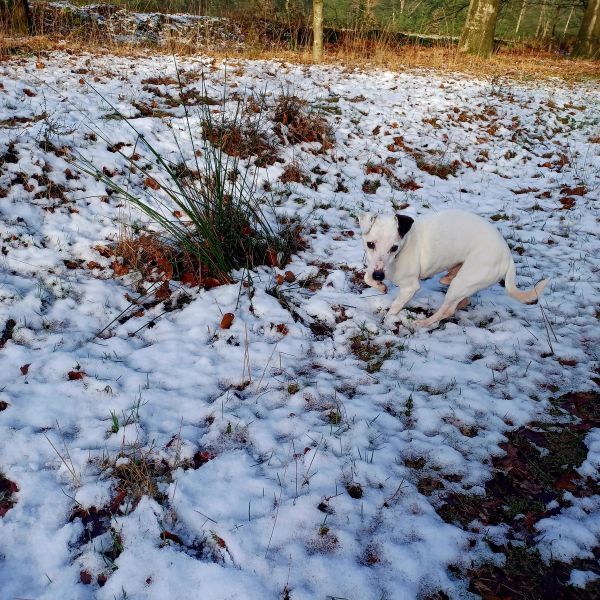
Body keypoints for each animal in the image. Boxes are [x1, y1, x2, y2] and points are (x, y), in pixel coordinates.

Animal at [358, 209, 552, 326]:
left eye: (394, 248)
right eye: (370, 244)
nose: (379, 276)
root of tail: (508, 256)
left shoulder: (409, 287)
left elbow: (395, 307)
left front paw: (388, 320)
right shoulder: (373, 268)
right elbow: (366, 276)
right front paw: (380, 286)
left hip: (464, 281)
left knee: (447, 309)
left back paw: (424, 323)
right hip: (465, 282)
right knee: (463, 300)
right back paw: (448, 279)